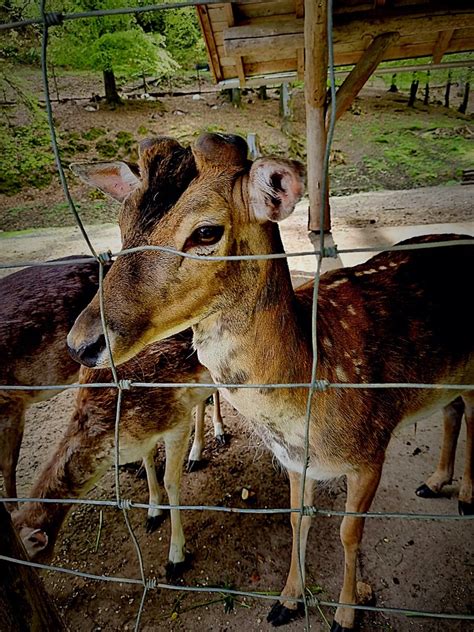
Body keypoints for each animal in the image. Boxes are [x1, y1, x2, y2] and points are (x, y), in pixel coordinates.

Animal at [66, 136, 474, 632]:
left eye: (206, 232)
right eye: (122, 225)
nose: (81, 343)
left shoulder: (371, 451)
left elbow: (349, 532)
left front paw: (345, 615)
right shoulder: (296, 461)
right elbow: (298, 521)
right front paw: (286, 601)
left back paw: (465, 497)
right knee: (453, 409)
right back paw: (434, 482)